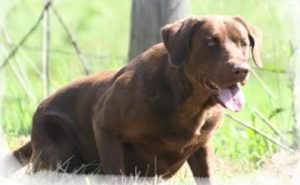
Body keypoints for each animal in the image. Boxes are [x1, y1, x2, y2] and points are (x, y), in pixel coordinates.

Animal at [14, 15, 260, 184]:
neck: (187, 104)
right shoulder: (105, 127)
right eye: (210, 43)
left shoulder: (203, 146)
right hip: (57, 152)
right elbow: (116, 172)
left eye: (243, 43)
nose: (241, 70)